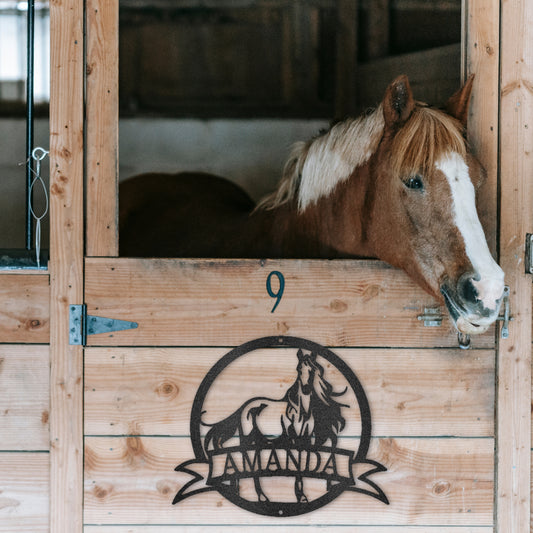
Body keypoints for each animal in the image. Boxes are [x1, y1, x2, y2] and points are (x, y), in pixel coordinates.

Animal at [202, 350, 348, 502]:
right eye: (299, 369)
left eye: (314, 369)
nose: (306, 389)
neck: (300, 410)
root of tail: (244, 406)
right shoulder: (292, 435)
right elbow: (295, 461)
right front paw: (299, 495)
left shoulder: (306, 436)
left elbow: (303, 462)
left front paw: (301, 496)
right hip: (247, 437)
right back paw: (259, 496)